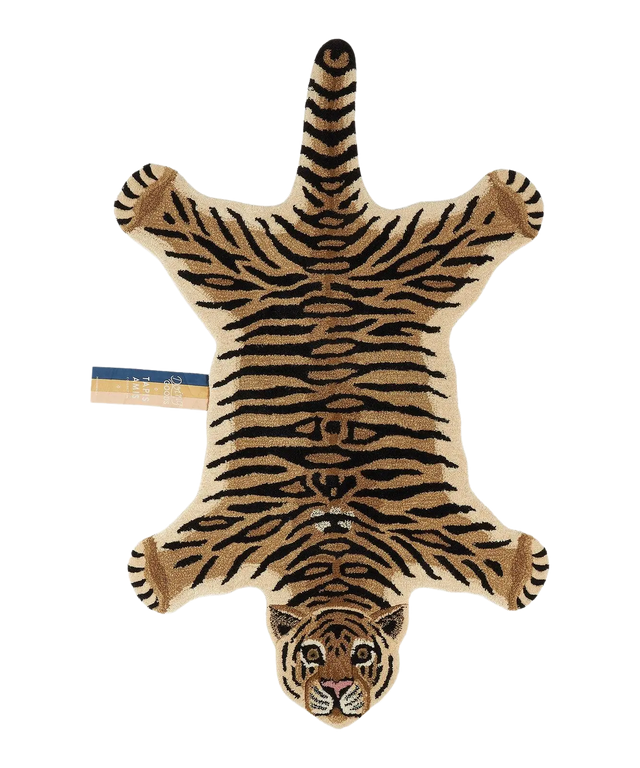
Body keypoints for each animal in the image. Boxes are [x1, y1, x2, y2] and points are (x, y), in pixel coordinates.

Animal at [112, 36, 552, 731]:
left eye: (364, 655)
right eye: (313, 654)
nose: (340, 689)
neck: (336, 544)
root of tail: (329, 229)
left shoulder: (430, 528)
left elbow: (485, 553)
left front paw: (518, 569)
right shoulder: (238, 530)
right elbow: (188, 554)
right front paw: (153, 572)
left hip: (418, 259)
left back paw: (508, 199)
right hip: (240, 263)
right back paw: (151, 195)